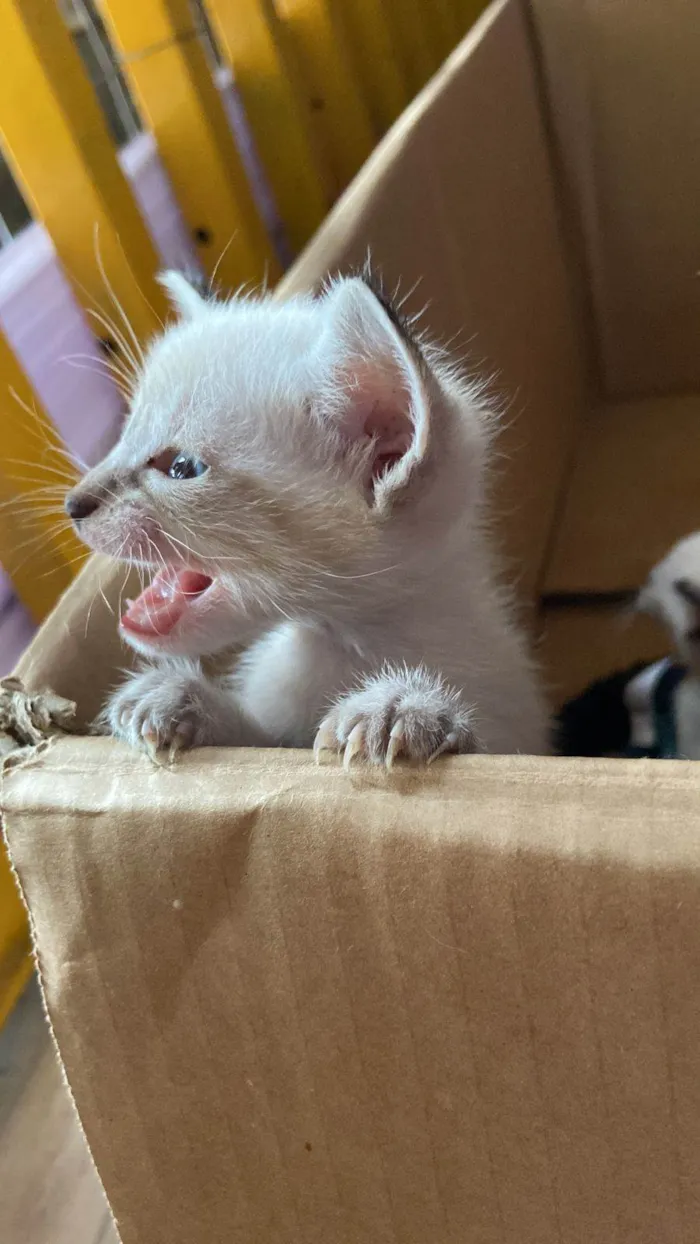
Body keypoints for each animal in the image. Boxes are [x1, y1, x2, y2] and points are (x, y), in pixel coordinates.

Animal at [65, 267, 547, 761]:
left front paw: (406, 707)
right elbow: (258, 739)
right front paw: (176, 698)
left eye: (181, 468)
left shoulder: (524, 736)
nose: (73, 504)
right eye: (126, 432)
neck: (341, 642)